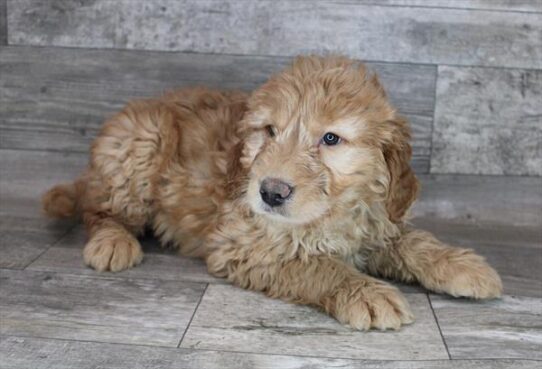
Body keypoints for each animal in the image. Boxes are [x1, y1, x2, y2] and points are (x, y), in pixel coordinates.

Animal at [43, 56, 506, 330]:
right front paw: (366, 292)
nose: (271, 192)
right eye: (268, 131)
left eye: (331, 139)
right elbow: (318, 265)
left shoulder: (377, 219)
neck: (329, 213)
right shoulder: (245, 242)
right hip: (141, 139)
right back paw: (112, 241)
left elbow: (411, 241)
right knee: (100, 210)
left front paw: (461, 265)